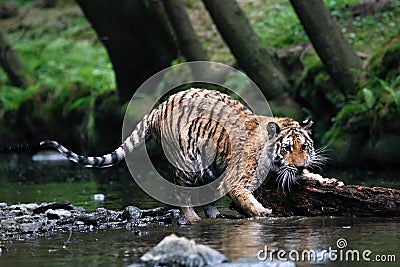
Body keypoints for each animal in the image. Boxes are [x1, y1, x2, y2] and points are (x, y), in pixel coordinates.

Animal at [40, 89, 326, 223]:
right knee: (181, 195)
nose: (300, 166)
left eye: (304, 147)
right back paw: (192, 219)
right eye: (286, 148)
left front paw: (321, 179)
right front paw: (263, 211)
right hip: (187, 162)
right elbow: (245, 197)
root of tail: (158, 108)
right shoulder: (236, 180)